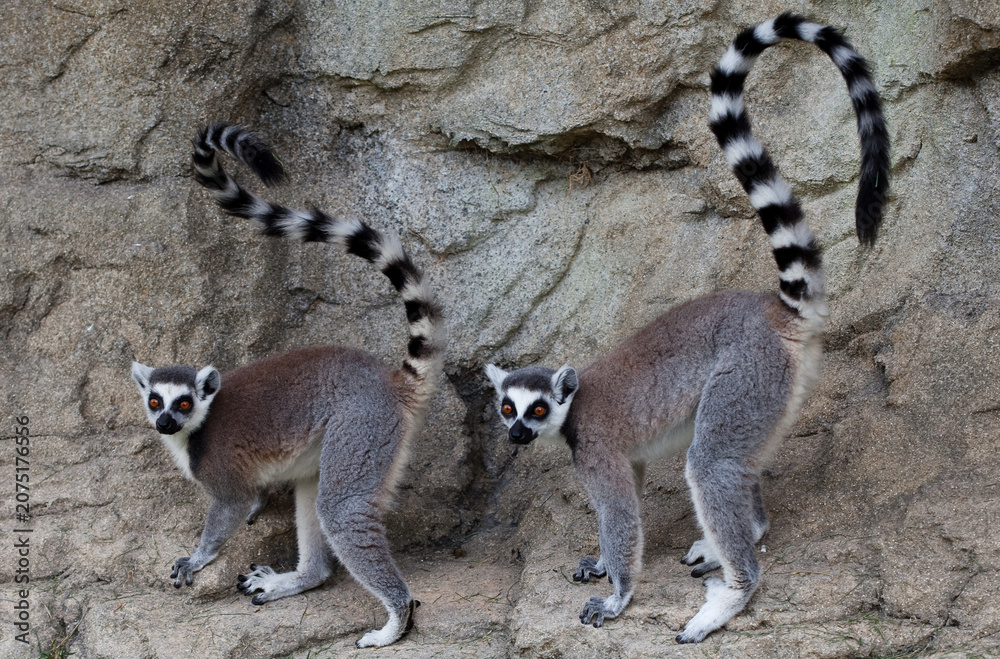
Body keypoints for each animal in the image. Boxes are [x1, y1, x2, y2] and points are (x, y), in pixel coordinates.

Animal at [131, 123, 445, 648]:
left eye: (184, 403)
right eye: (156, 400)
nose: (164, 422)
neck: (192, 432)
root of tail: (388, 381)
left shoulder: (217, 466)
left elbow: (229, 507)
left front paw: (198, 557)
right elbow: (256, 497)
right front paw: (260, 507)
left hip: (361, 426)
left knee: (339, 509)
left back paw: (394, 621)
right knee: (314, 493)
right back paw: (301, 578)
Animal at [486, 13, 889, 644]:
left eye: (538, 409)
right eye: (507, 407)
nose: (517, 434)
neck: (572, 412)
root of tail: (771, 313)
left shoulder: (594, 447)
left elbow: (620, 511)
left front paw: (617, 595)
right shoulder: (624, 455)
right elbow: (630, 494)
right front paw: (601, 563)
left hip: (747, 374)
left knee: (709, 461)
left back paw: (730, 596)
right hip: (771, 395)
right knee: (735, 465)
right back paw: (738, 537)